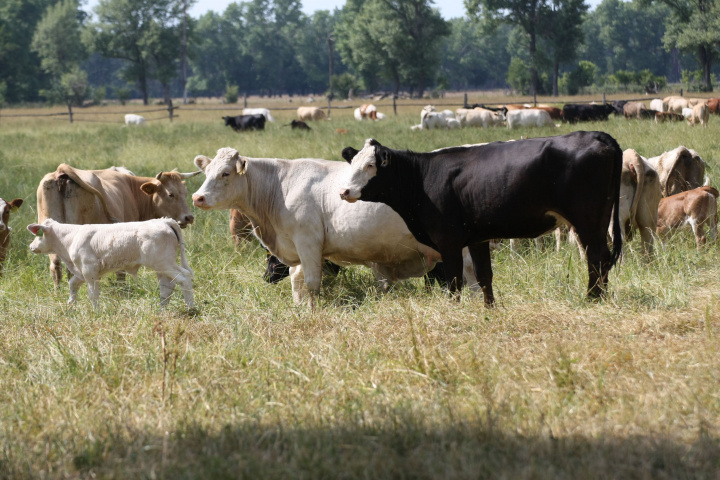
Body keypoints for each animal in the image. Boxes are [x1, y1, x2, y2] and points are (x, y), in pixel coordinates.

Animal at [28, 219, 194, 310]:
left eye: (38, 234)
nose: (31, 246)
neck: (71, 237)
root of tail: (163, 220)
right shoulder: (82, 272)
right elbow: (72, 284)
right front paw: (70, 304)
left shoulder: (89, 270)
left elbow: (93, 294)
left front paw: (96, 312)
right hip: (162, 267)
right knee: (167, 287)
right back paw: (160, 311)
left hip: (164, 263)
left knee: (184, 278)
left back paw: (191, 309)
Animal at [37, 164, 200, 284]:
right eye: (170, 194)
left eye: (185, 193)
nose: (189, 217)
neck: (131, 189)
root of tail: (61, 171)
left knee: (56, 265)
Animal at [191, 147, 450, 304]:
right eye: (207, 172)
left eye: (225, 173)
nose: (197, 197)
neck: (281, 187)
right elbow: (296, 280)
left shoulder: (308, 243)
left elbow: (311, 283)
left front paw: (312, 310)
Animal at [338, 131, 624, 306]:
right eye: (352, 163)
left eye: (371, 166)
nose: (345, 191)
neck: (423, 178)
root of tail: (596, 135)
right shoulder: (477, 238)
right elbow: (484, 276)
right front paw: (490, 309)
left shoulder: (449, 241)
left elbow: (454, 281)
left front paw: (453, 310)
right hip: (599, 219)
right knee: (603, 257)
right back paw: (601, 297)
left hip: (586, 220)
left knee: (596, 257)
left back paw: (592, 298)